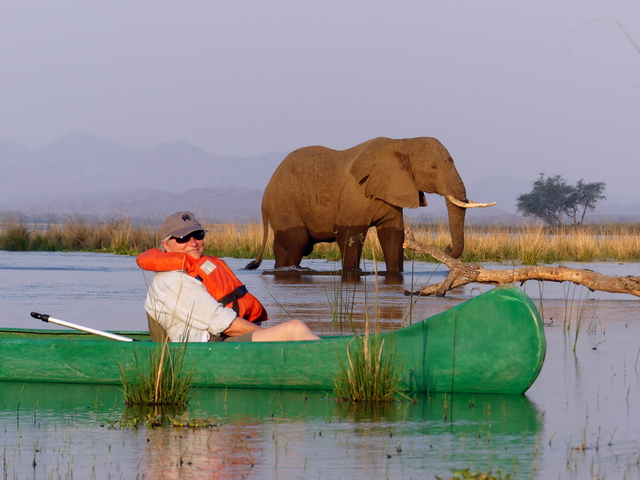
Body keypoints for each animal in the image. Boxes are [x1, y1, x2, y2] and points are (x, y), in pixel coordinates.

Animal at [245, 137, 494, 273]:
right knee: (299, 242)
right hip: (283, 202)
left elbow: (393, 236)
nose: (448, 248)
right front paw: (352, 273)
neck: (402, 143)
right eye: (433, 167)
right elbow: (349, 233)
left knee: (287, 245)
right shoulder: (356, 193)